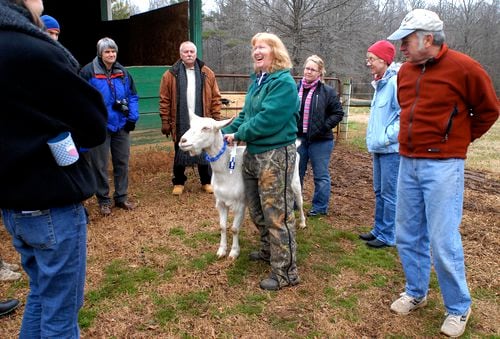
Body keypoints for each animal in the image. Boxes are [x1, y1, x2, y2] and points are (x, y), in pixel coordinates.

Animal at [178, 116, 306, 260]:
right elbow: (222, 226)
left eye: (206, 128)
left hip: (294, 180)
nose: (182, 141)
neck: (226, 171)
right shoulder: (220, 202)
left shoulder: (240, 203)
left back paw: (302, 223)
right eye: (191, 125)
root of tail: (296, 147)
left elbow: (234, 229)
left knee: (299, 201)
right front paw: (221, 250)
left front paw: (234, 252)